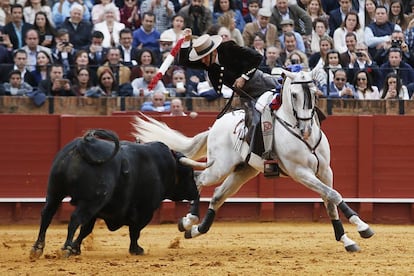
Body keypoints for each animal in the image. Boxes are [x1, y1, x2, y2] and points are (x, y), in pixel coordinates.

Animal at [30, 129, 201, 258]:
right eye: (189, 173)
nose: (196, 192)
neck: (164, 166)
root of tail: (83, 144)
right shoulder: (144, 211)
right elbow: (135, 231)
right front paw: (136, 250)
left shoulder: (97, 211)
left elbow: (86, 229)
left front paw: (76, 248)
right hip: (91, 201)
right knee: (75, 218)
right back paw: (65, 248)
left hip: (55, 192)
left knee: (47, 214)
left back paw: (38, 248)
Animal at [133, 70, 376, 251]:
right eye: (294, 95)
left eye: (314, 93)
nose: (306, 129)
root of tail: (215, 126)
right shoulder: (300, 172)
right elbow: (333, 195)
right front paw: (363, 227)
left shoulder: (325, 171)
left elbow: (330, 201)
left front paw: (347, 239)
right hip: (219, 167)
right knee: (199, 179)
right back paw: (188, 220)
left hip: (243, 171)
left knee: (217, 196)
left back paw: (195, 230)